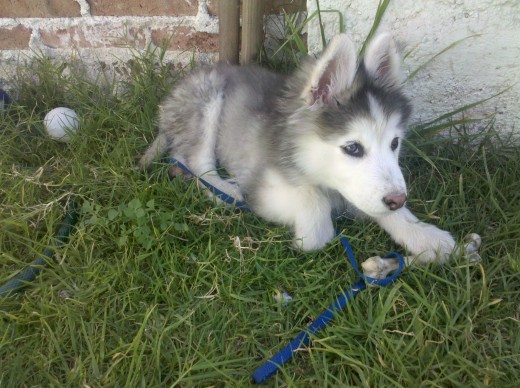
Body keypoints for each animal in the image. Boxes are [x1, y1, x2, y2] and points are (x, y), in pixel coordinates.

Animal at [139, 32, 480, 276]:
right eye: (353, 148)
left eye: (394, 143)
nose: (398, 199)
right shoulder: (266, 184)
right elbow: (315, 219)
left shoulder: (361, 191)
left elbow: (387, 213)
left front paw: (426, 237)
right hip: (206, 98)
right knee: (196, 161)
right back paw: (225, 190)